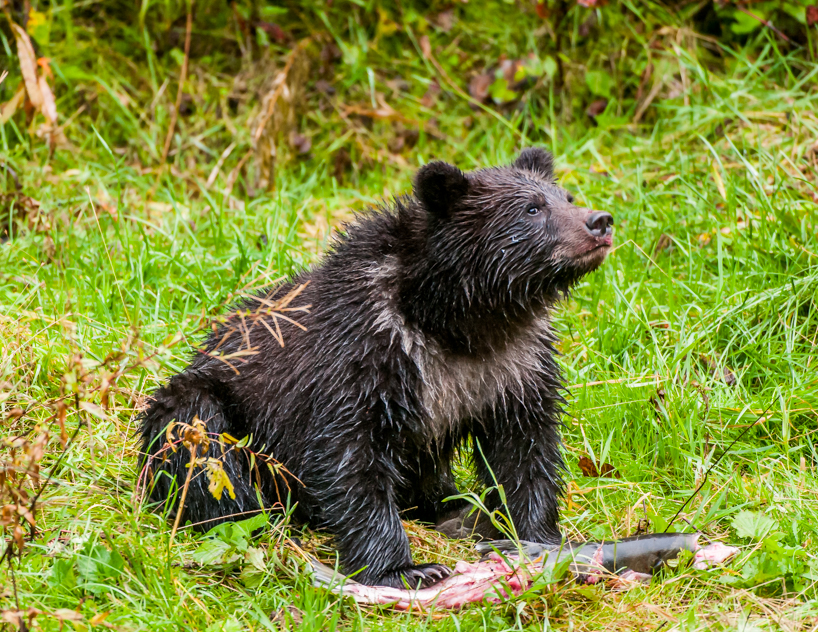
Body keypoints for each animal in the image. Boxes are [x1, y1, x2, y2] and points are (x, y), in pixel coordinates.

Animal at [138, 148, 613, 589]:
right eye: (532, 208)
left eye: (567, 197)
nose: (601, 221)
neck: (455, 320)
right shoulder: (364, 356)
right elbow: (350, 455)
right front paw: (405, 568)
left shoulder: (512, 368)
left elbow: (524, 449)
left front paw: (535, 538)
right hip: (209, 404)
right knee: (202, 445)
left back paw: (457, 509)